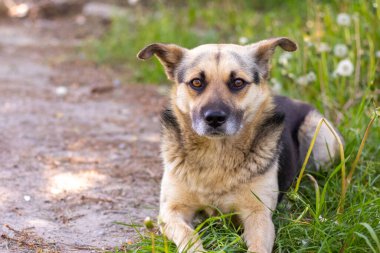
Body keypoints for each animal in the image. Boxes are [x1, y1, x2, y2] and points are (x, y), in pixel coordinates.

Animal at [137, 38, 342, 253]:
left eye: (237, 82)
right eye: (196, 82)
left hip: (321, 140)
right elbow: (189, 235)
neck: (217, 154)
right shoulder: (171, 211)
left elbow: (258, 245)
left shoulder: (258, 214)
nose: (214, 118)